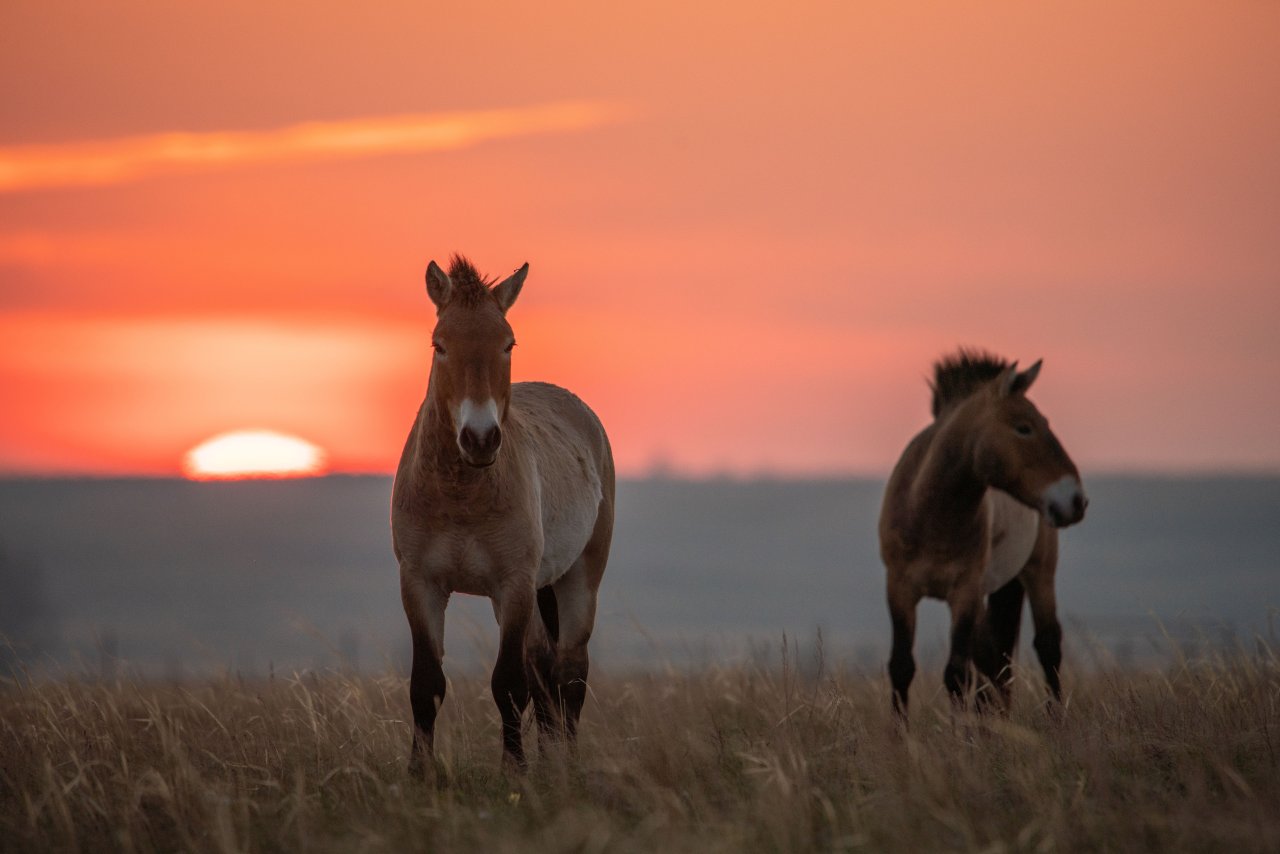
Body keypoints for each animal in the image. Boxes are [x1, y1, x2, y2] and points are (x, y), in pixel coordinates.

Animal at [389, 256, 614, 773]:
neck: (460, 493)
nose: (480, 439)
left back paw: (565, 765)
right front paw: (418, 773)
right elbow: (426, 684)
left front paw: (515, 770)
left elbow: (509, 684)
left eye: (508, 343)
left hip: (578, 578)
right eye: (439, 345)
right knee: (545, 667)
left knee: (569, 671)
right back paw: (550, 759)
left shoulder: (513, 584)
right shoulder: (420, 584)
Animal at [880, 350, 1090, 717]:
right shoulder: (899, 589)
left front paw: (962, 732)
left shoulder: (964, 591)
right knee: (993, 660)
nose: (1076, 500)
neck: (930, 512)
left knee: (1047, 646)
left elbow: (956, 674)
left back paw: (1052, 719)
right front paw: (900, 731)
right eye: (1024, 428)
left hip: (1038, 571)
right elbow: (902, 667)